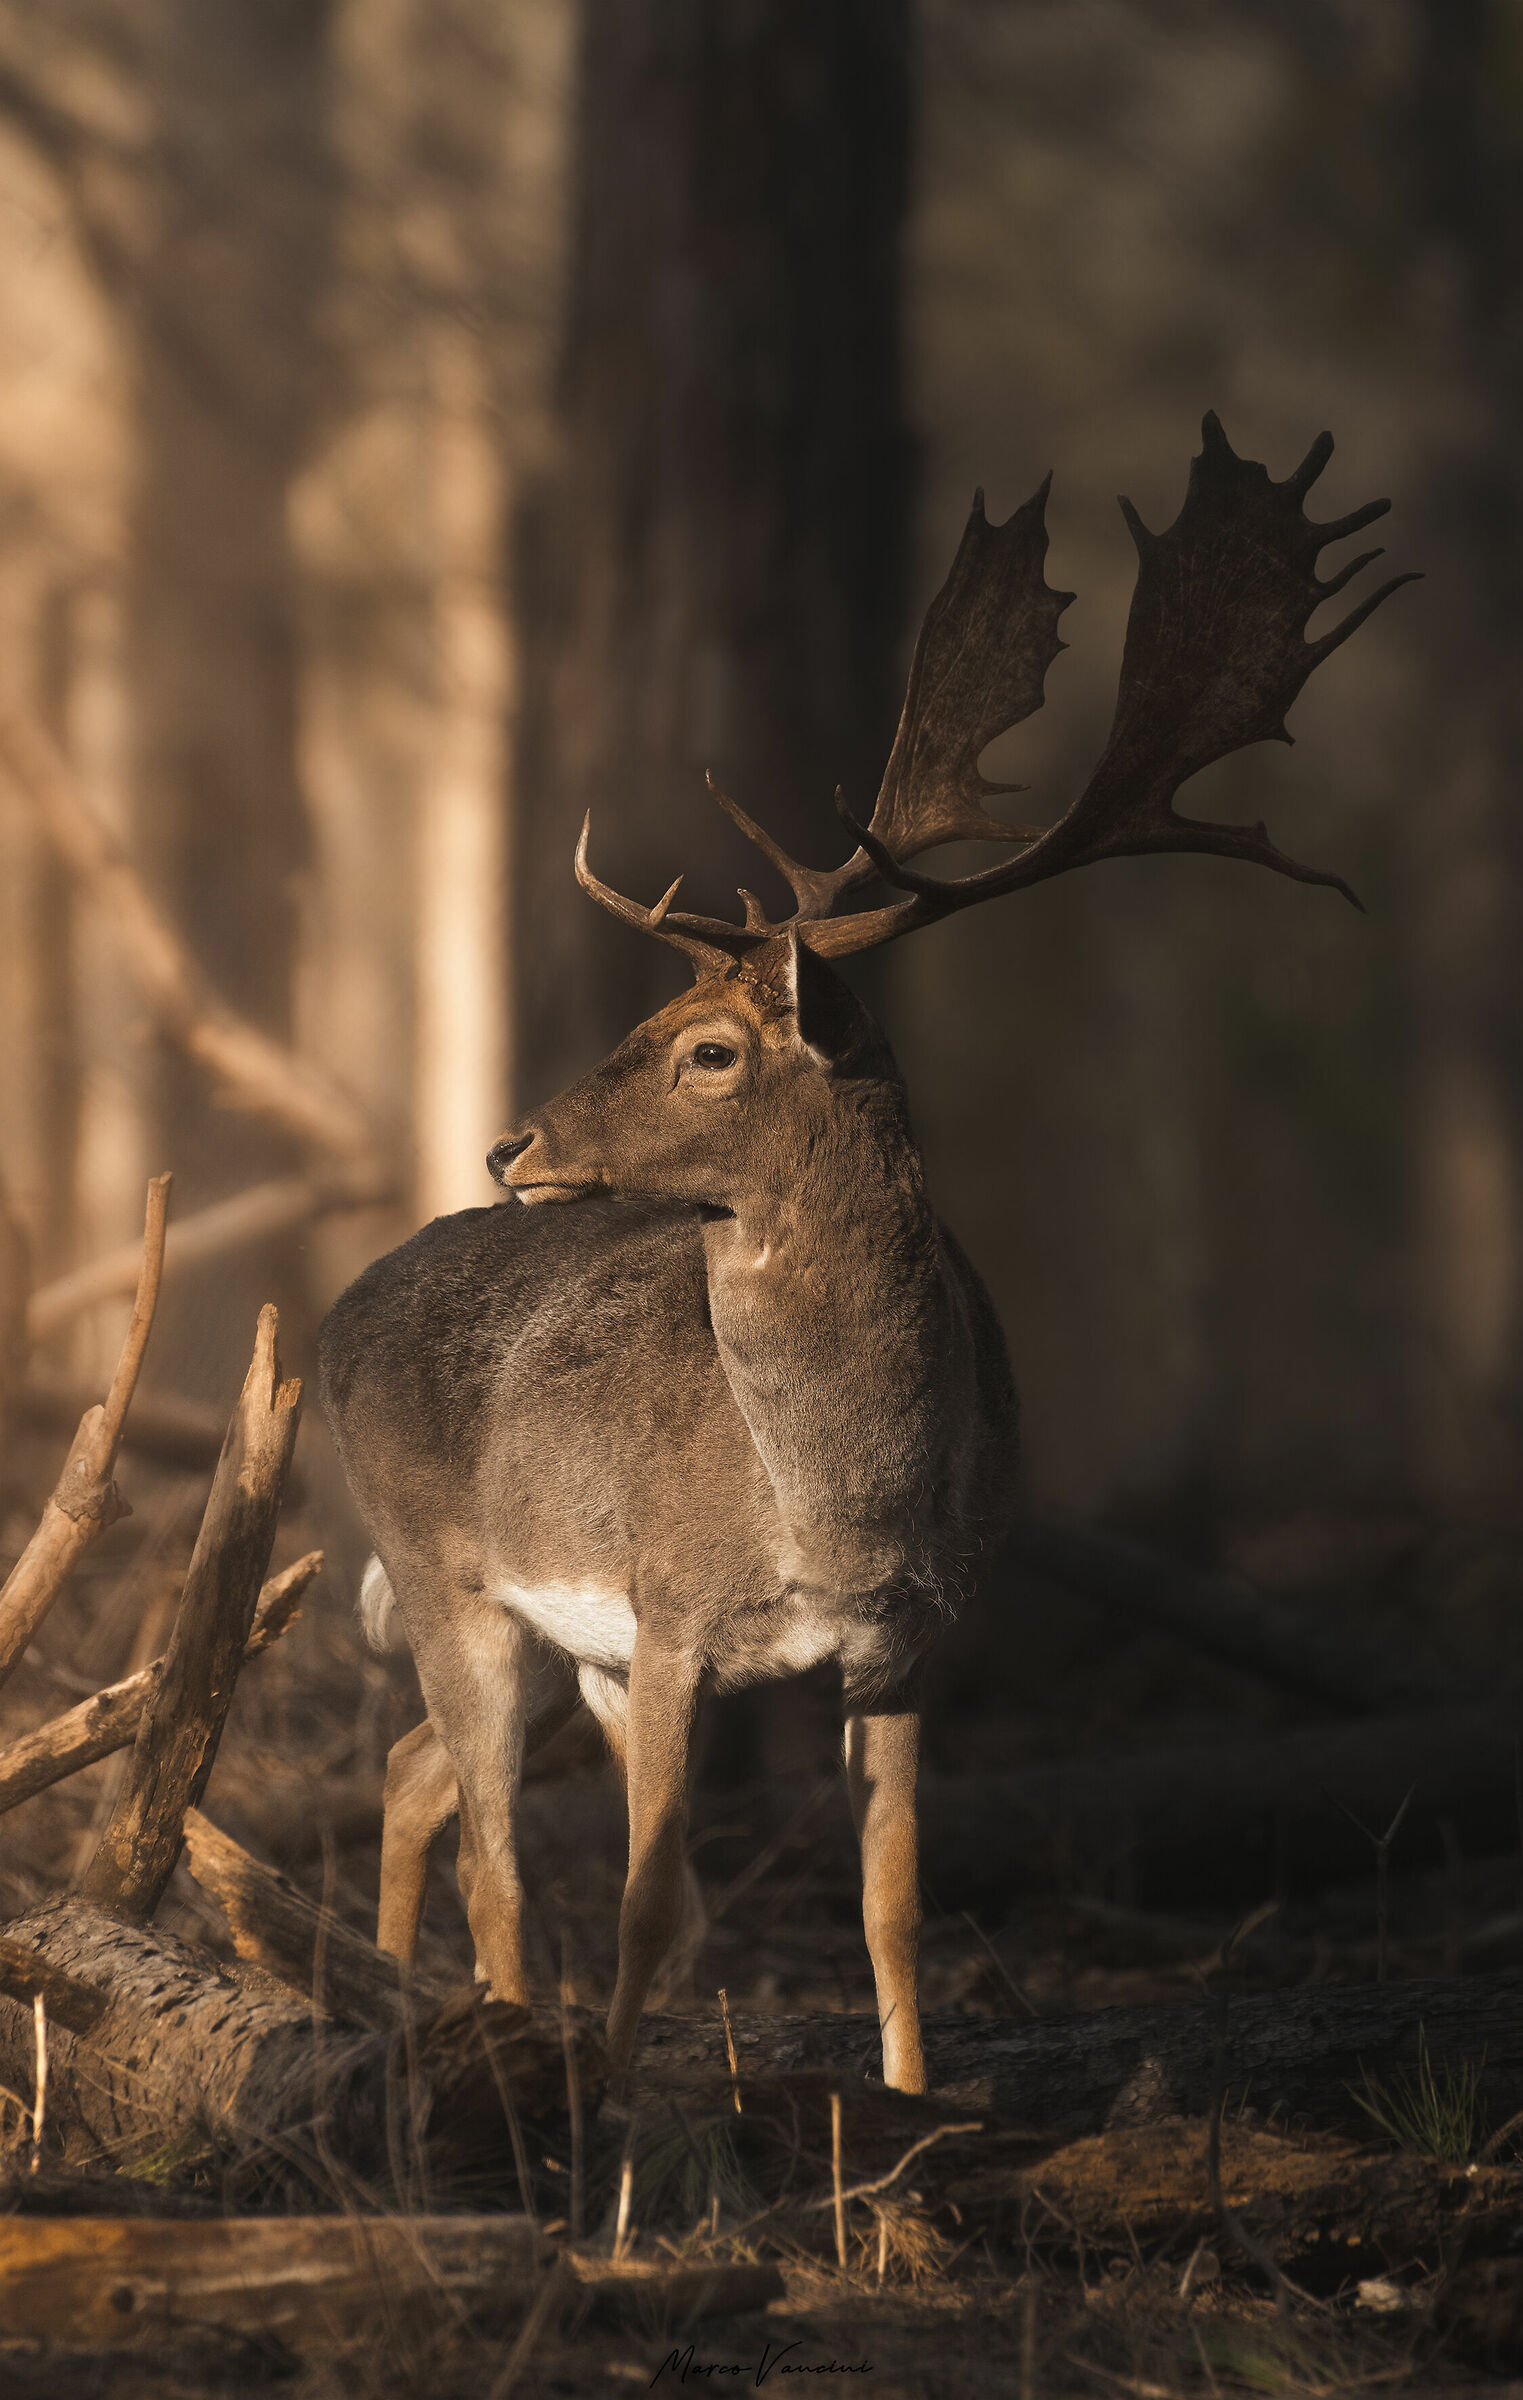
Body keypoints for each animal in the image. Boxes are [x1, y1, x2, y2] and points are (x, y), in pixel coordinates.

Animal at [318, 415, 1412, 2094]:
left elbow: (891, 1903)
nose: (511, 1147)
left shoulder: (910, 1640)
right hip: (451, 1577)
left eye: (706, 1048)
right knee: (489, 1838)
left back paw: (405, 2011)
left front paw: (905, 2101)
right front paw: (625, 2100)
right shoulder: (669, 1613)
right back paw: (480, 2038)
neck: (831, 1500)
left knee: (417, 1774)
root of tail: (329, 1316)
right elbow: (650, 1899)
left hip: (550, 1649)